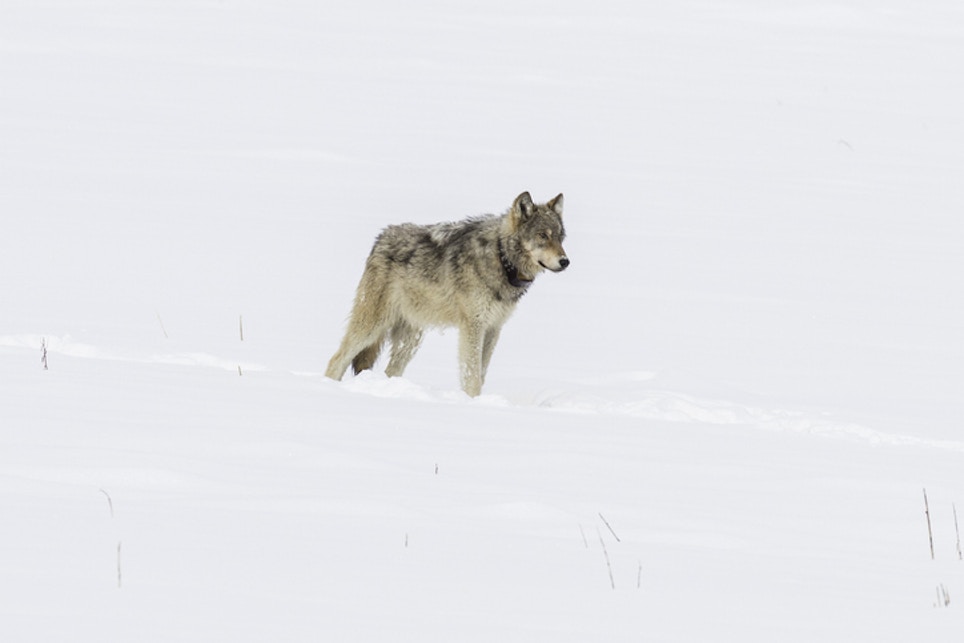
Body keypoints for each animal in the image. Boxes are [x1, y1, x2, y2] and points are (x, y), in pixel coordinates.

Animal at [325, 191, 569, 396]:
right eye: (542, 236)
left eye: (560, 237)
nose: (565, 261)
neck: (500, 257)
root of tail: (381, 238)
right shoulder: (473, 326)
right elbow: (472, 376)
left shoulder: (493, 328)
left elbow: (481, 373)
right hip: (372, 326)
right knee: (336, 360)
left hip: (411, 338)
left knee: (390, 371)